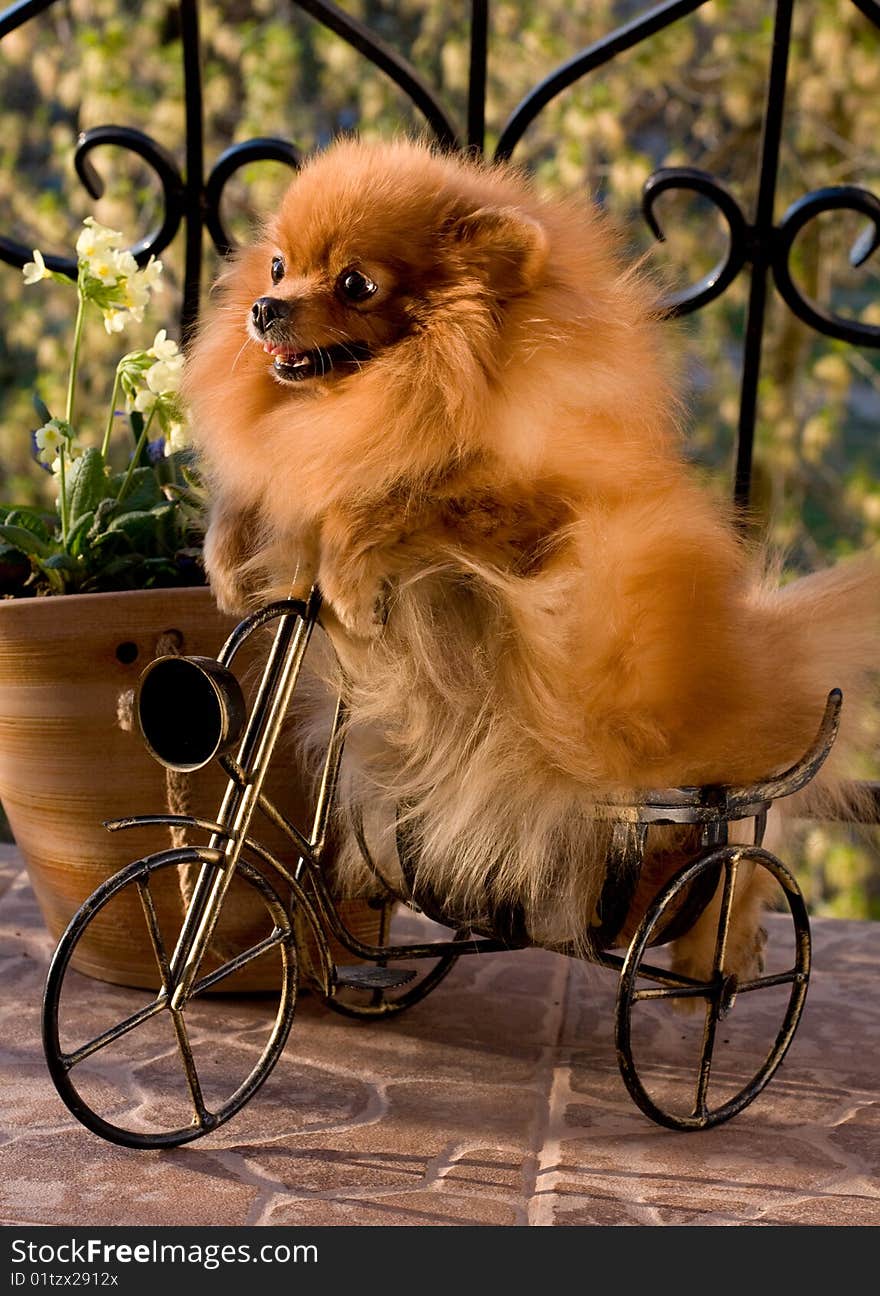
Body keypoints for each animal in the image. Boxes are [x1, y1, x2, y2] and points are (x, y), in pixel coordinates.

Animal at [185, 136, 880, 974]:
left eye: (356, 283)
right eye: (280, 267)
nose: (264, 308)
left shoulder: (525, 516)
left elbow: (400, 497)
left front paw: (346, 573)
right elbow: (272, 496)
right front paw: (227, 555)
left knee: (736, 859)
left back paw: (717, 956)